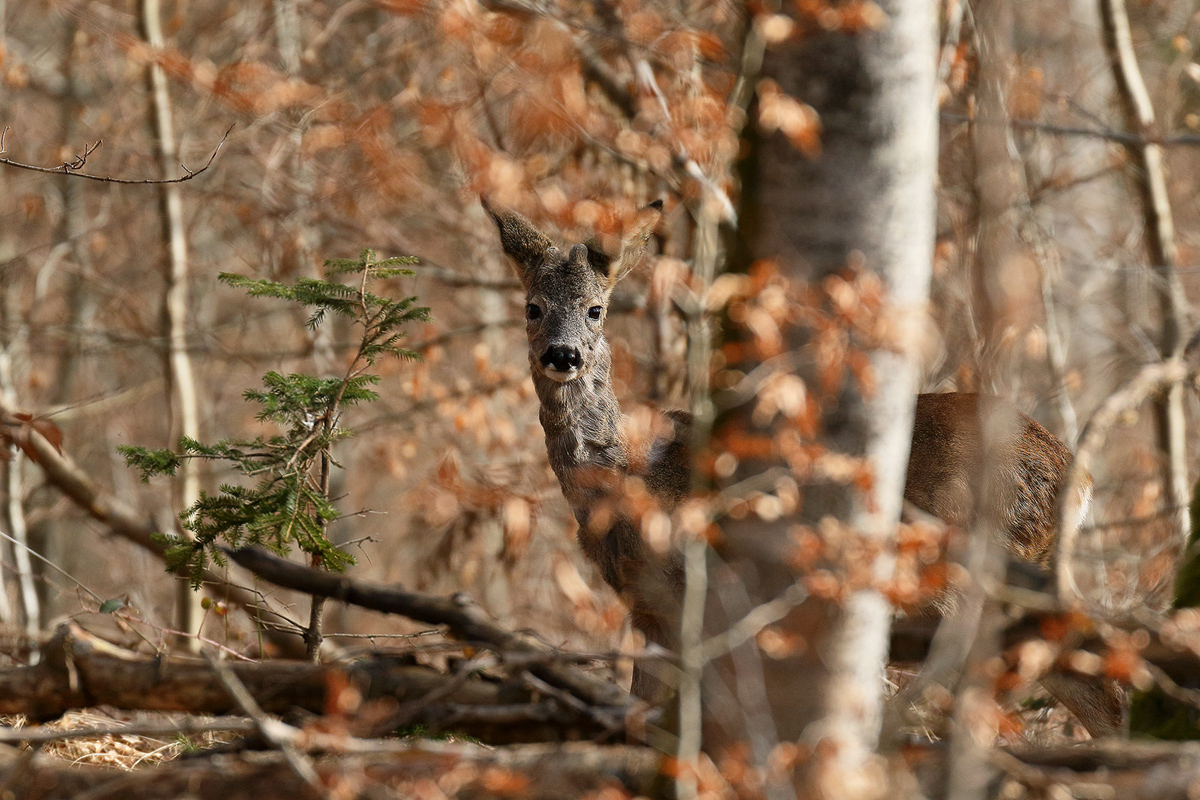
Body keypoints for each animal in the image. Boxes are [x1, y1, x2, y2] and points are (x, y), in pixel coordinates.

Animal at [482, 201, 1118, 738]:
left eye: (596, 309)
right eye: (533, 307)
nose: (563, 355)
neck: (631, 479)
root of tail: (1078, 477)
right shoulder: (651, 613)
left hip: (961, 563)